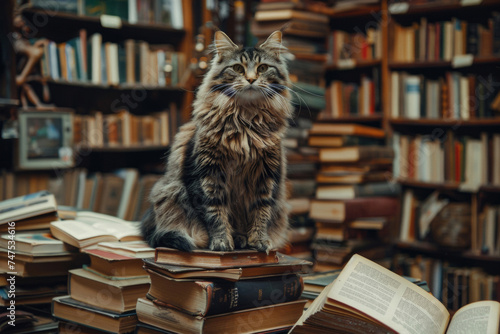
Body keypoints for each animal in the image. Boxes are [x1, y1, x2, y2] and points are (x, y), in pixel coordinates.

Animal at [142, 30, 292, 253]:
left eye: (263, 68)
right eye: (238, 68)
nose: (251, 79)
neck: (246, 121)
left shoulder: (267, 175)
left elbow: (261, 212)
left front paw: (259, 241)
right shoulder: (207, 174)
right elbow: (214, 213)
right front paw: (221, 242)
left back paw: (242, 239)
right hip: (169, 192)